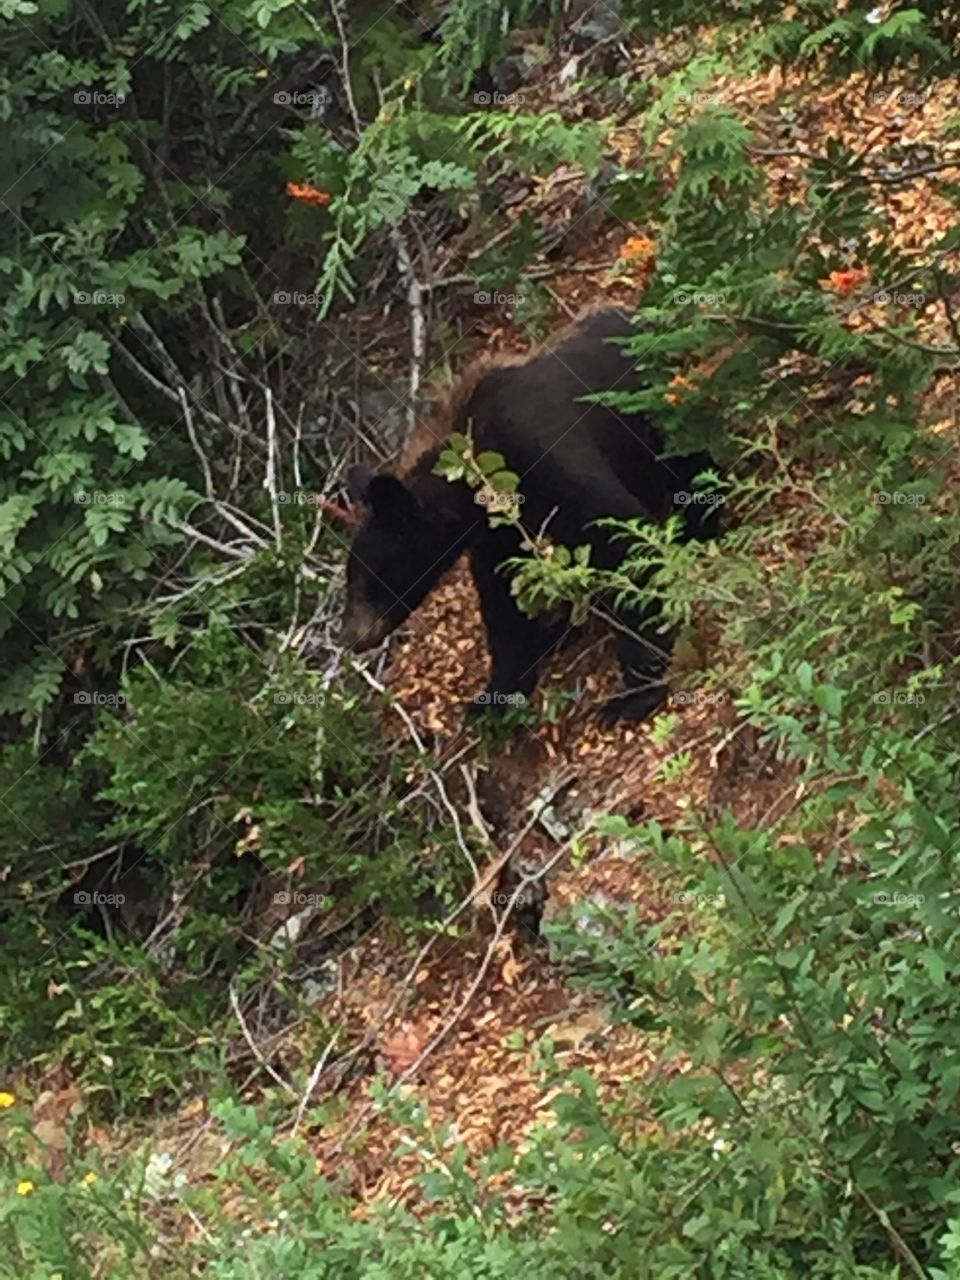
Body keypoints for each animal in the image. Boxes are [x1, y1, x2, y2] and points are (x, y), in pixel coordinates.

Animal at [338, 306, 718, 725]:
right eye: (352, 575)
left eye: (367, 576)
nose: (351, 636)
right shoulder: (496, 533)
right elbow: (503, 602)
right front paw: (495, 697)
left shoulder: (544, 457)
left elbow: (618, 534)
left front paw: (633, 692)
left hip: (658, 412)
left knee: (689, 461)